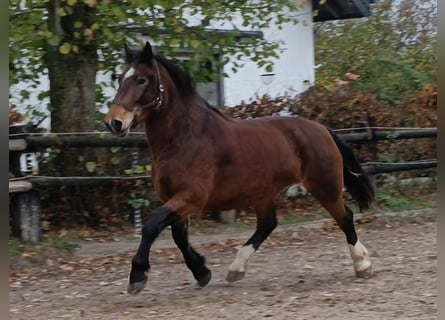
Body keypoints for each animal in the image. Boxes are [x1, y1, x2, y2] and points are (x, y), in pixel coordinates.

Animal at [103, 40, 374, 296]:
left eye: (141, 79)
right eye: (119, 77)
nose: (113, 123)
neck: (183, 137)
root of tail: (323, 129)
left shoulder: (191, 197)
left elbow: (152, 226)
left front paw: (137, 277)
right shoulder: (175, 198)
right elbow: (178, 236)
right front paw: (201, 272)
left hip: (324, 186)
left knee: (345, 217)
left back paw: (362, 265)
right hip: (264, 193)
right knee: (267, 225)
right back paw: (236, 268)